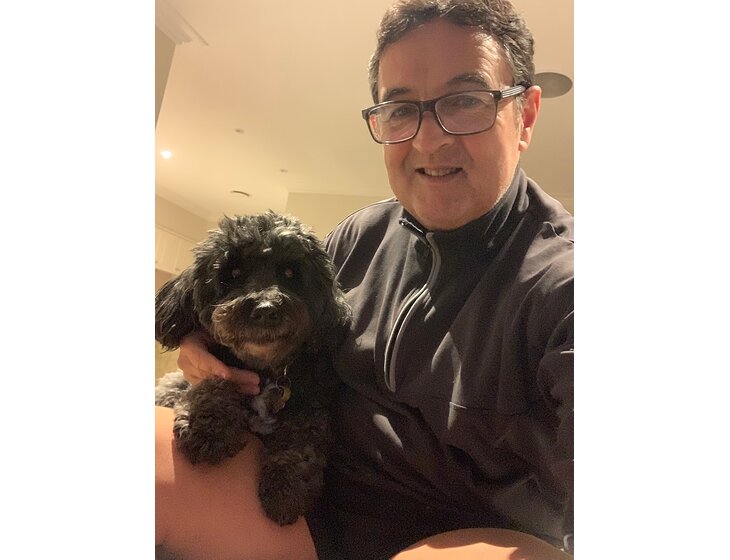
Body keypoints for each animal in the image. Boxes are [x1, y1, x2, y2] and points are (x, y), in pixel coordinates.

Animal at [155, 211, 350, 526]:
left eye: (290, 274)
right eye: (233, 274)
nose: (265, 309)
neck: (265, 370)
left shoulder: (313, 408)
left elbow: (304, 440)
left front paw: (287, 488)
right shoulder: (209, 372)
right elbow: (213, 384)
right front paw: (207, 427)